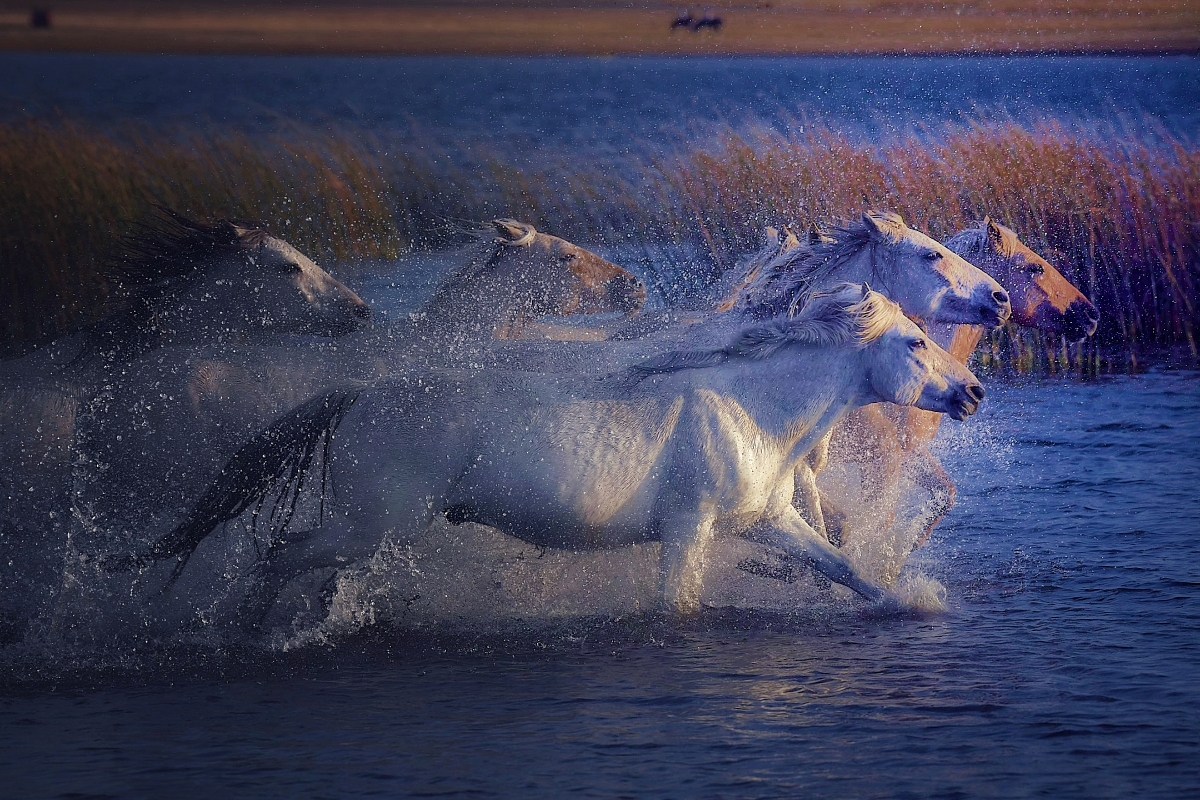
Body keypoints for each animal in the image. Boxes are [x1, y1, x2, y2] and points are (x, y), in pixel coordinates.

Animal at [133, 284, 984, 623]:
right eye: (914, 342)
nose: (974, 392)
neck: (755, 412)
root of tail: (360, 395)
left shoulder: (767, 523)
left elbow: (847, 569)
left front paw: (915, 603)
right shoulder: (690, 530)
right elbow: (675, 605)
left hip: (368, 529)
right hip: (372, 522)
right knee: (278, 556)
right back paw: (249, 631)